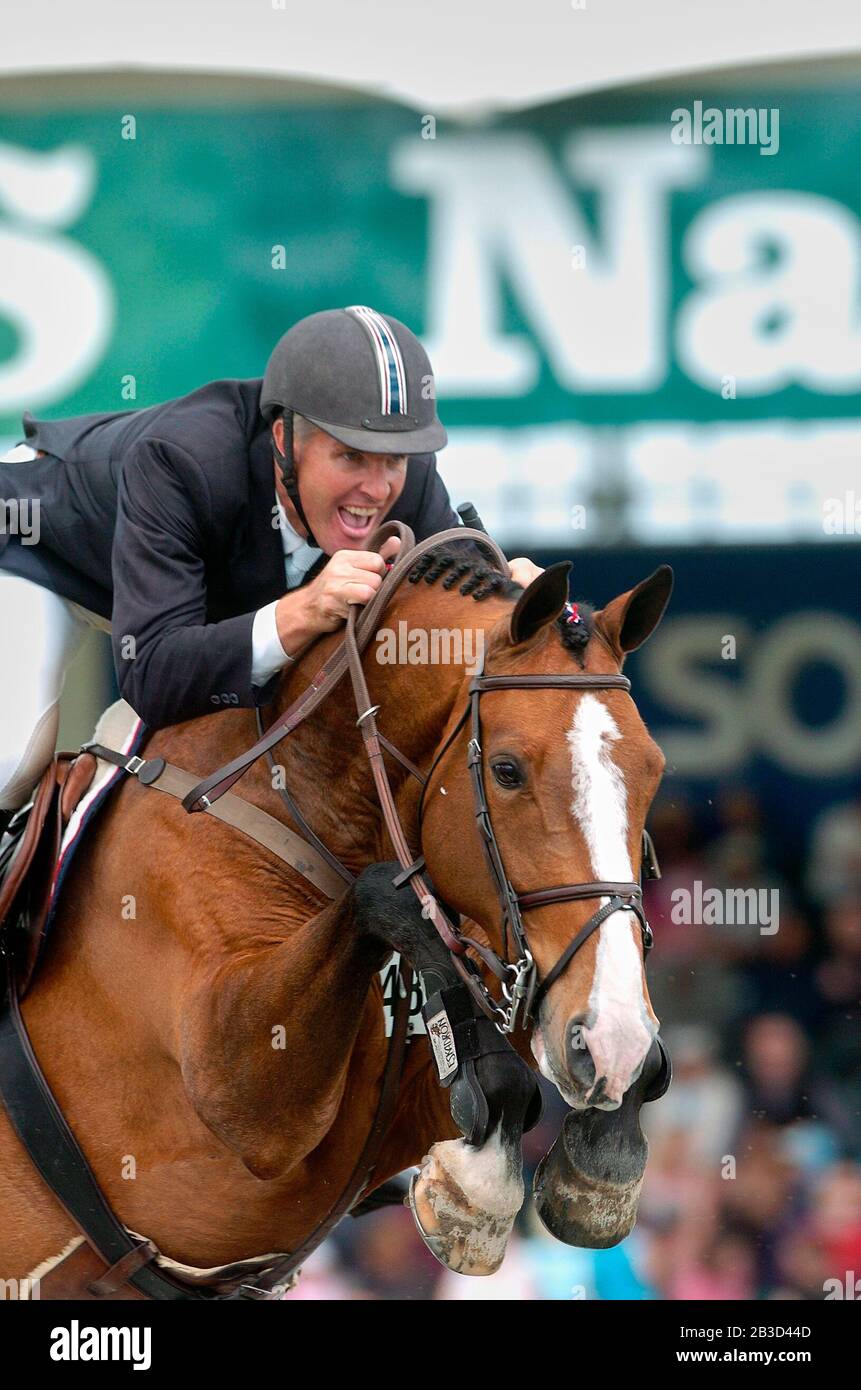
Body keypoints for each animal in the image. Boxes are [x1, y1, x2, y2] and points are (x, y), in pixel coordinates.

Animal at [0, 530, 673, 1289]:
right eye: (506, 770)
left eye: (654, 772)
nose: (608, 1038)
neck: (297, 793)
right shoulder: (238, 1086)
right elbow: (383, 896)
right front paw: (475, 1195)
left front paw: (600, 1151)